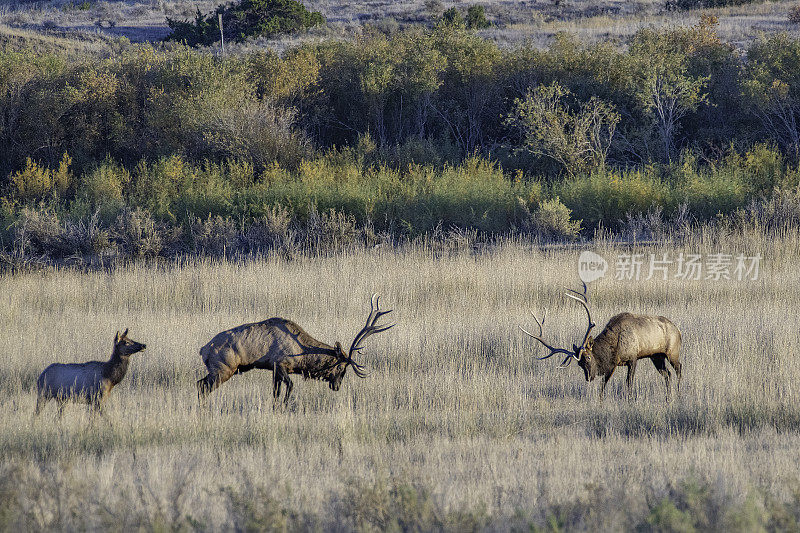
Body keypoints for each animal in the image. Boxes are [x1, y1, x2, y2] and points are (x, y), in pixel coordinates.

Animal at [195, 294, 392, 402]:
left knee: (199, 384)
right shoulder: (280, 364)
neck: (301, 356)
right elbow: (289, 387)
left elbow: (275, 394)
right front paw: (285, 405)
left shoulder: (274, 370)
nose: (336, 386)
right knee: (202, 386)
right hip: (223, 369)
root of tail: (203, 349)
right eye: (341, 367)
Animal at [520, 282, 684, 400]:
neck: (614, 347)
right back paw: (668, 397)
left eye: (588, 357)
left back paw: (679, 393)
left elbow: (628, 382)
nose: (589, 377)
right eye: (579, 364)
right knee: (667, 374)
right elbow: (603, 385)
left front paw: (630, 400)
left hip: (672, 352)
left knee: (679, 369)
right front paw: (601, 401)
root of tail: (678, 330)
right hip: (656, 356)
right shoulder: (613, 364)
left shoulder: (632, 358)